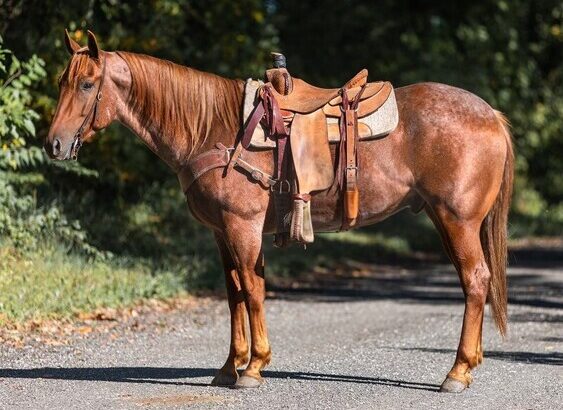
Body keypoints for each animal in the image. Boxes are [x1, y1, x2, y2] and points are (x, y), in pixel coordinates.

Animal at [47, 30, 516, 392]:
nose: (54, 144)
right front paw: (229, 367)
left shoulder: (243, 228)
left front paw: (254, 368)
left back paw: (457, 372)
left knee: (476, 281)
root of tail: (491, 115)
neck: (212, 129)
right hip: (445, 219)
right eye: (61, 82)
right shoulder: (221, 233)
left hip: (457, 220)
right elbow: (234, 293)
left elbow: (254, 290)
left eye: (87, 85)